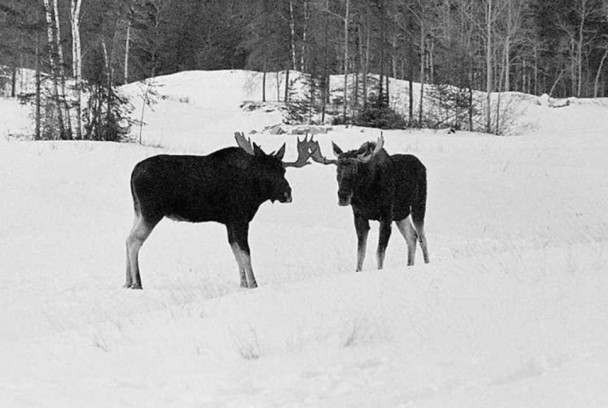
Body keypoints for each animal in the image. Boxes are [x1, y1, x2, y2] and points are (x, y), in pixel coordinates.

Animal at [124, 132, 314, 288]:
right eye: (265, 172)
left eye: (283, 170)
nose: (287, 193)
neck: (255, 192)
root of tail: (133, 172)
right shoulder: (239, 218)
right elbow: (245, 252)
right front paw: (253, 284)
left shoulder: (229, 222)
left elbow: (236, 253)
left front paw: (243, 284)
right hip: (151, 212)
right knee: (134, 240)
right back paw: (137, 283)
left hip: (138, 211)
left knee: (127, 239)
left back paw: (127, 282)